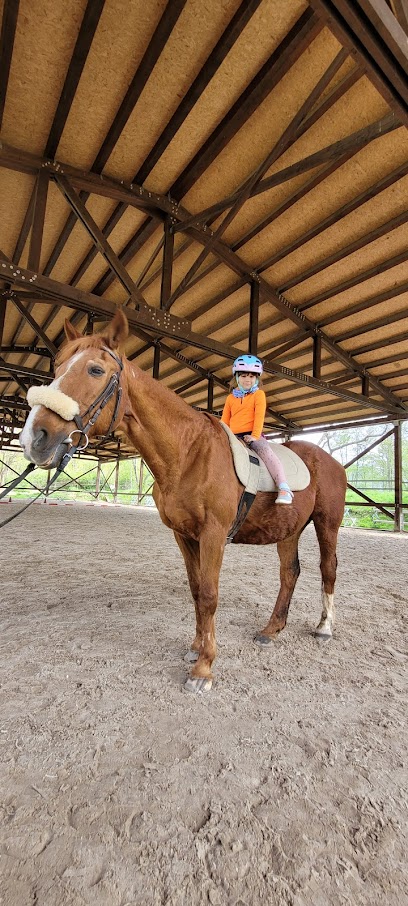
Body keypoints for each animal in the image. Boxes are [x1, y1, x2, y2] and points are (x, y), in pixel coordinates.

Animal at [19, 308, 348, 692]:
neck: (189, 453)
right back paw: (271, 629)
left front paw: (204, 668)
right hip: (289, 529)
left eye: (95, 370)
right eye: (56, 367)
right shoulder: (183, 535)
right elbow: (195, 590)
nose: (34, 438)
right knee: (289, 573)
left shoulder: (214, 535)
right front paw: (195, 648)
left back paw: (324, 627)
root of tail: (330, 461)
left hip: (327, 524)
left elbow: (209, 594)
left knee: (328, 569)